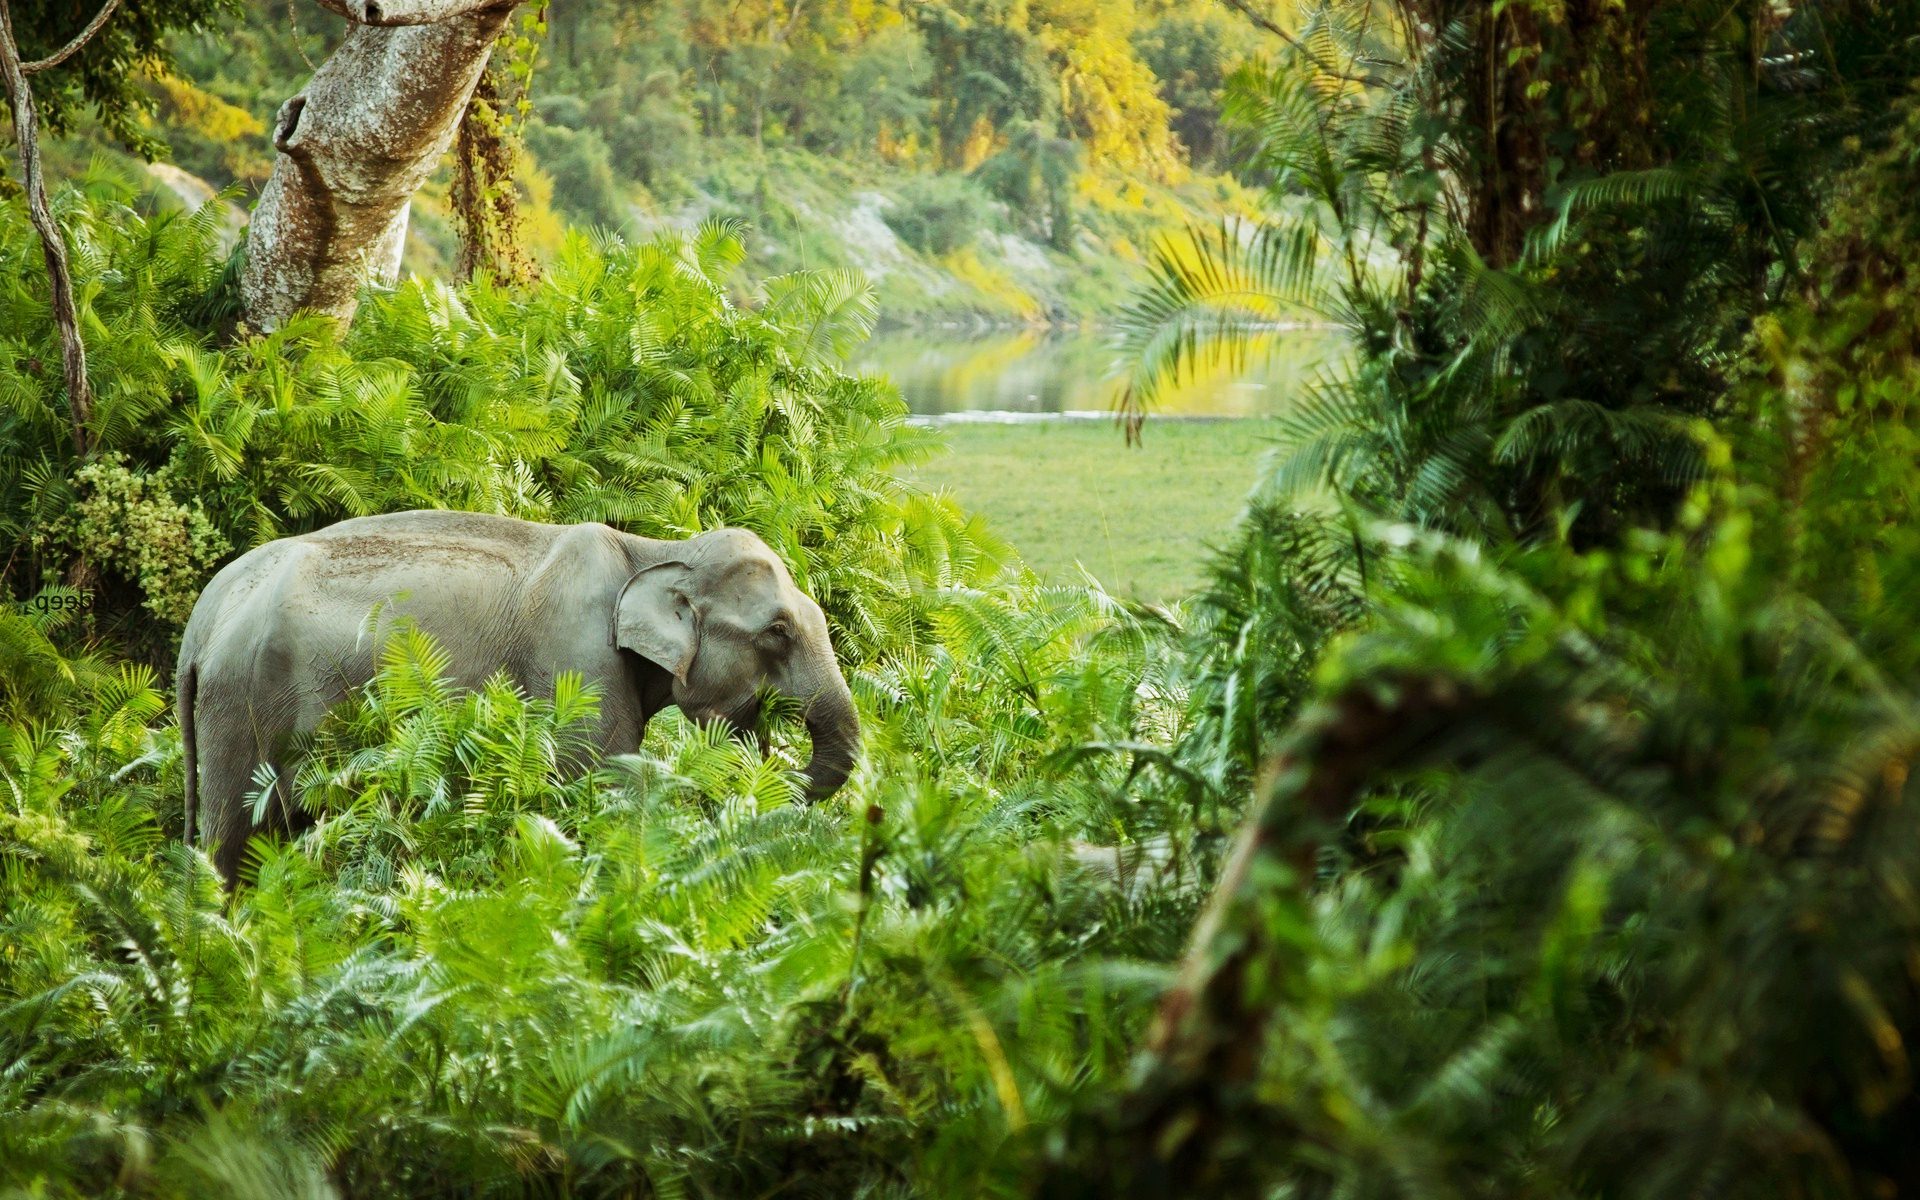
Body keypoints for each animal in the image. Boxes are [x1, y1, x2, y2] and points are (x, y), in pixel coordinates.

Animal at [176, 506, 860, 879]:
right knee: (236, 844)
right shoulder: (575, 658)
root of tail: (201, 622)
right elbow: (600, 780)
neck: (657, 549)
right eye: (777, 632)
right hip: (242, 705)